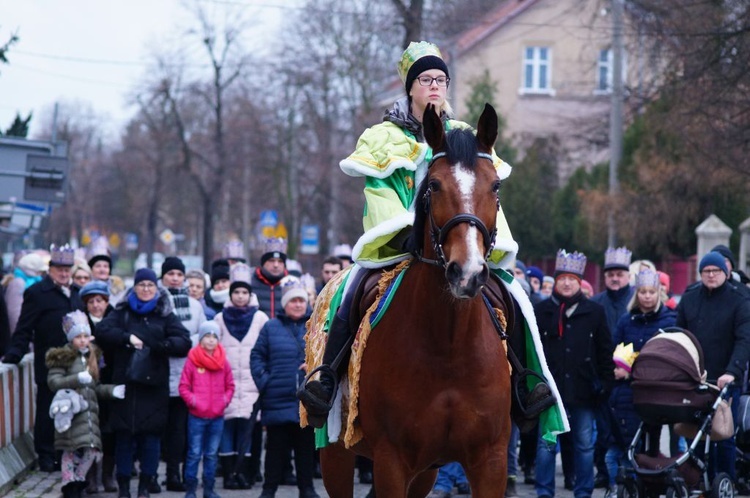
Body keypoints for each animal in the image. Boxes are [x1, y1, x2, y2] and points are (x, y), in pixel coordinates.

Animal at [320, 102, 516, 498]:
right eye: (435, 185)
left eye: (495, 185)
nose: (467, 272)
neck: (448, 346)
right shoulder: (391, 461)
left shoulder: (490, 460)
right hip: (336, 453)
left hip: (426, 471)